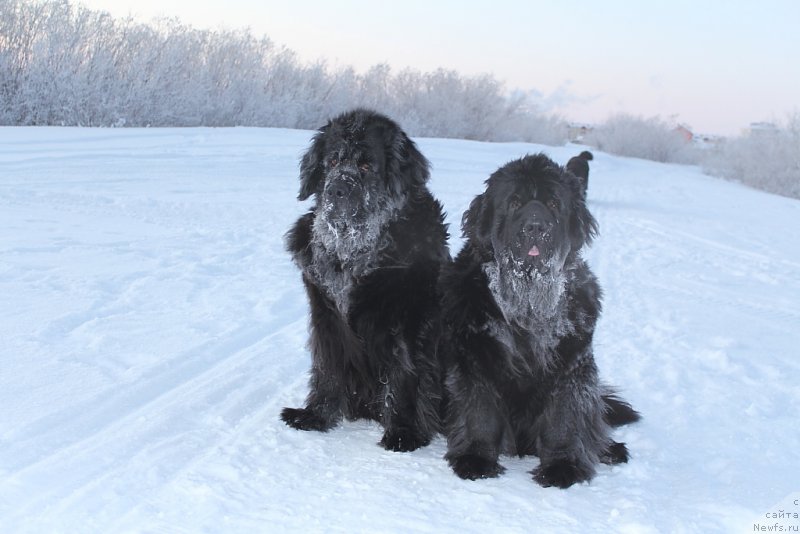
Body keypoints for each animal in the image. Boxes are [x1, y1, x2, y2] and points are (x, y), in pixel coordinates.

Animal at [280, 109, 450, 452]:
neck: (352, 255)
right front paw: (316, 415)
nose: (336, 189)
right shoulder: (326, 317)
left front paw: (403, 432)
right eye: (332, 161)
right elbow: (327, 367)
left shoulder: (408, 324)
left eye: (366, 165)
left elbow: (404, 376)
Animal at [438, 152, 636, 490]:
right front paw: (475, 459)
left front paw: (563, 466)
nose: (535, 227)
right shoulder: (474, 360)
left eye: (554, 204)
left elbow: (564, 419)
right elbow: (479, 413)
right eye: (514, 202)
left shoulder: (572, 366)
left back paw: (610, 449)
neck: (526, 309)